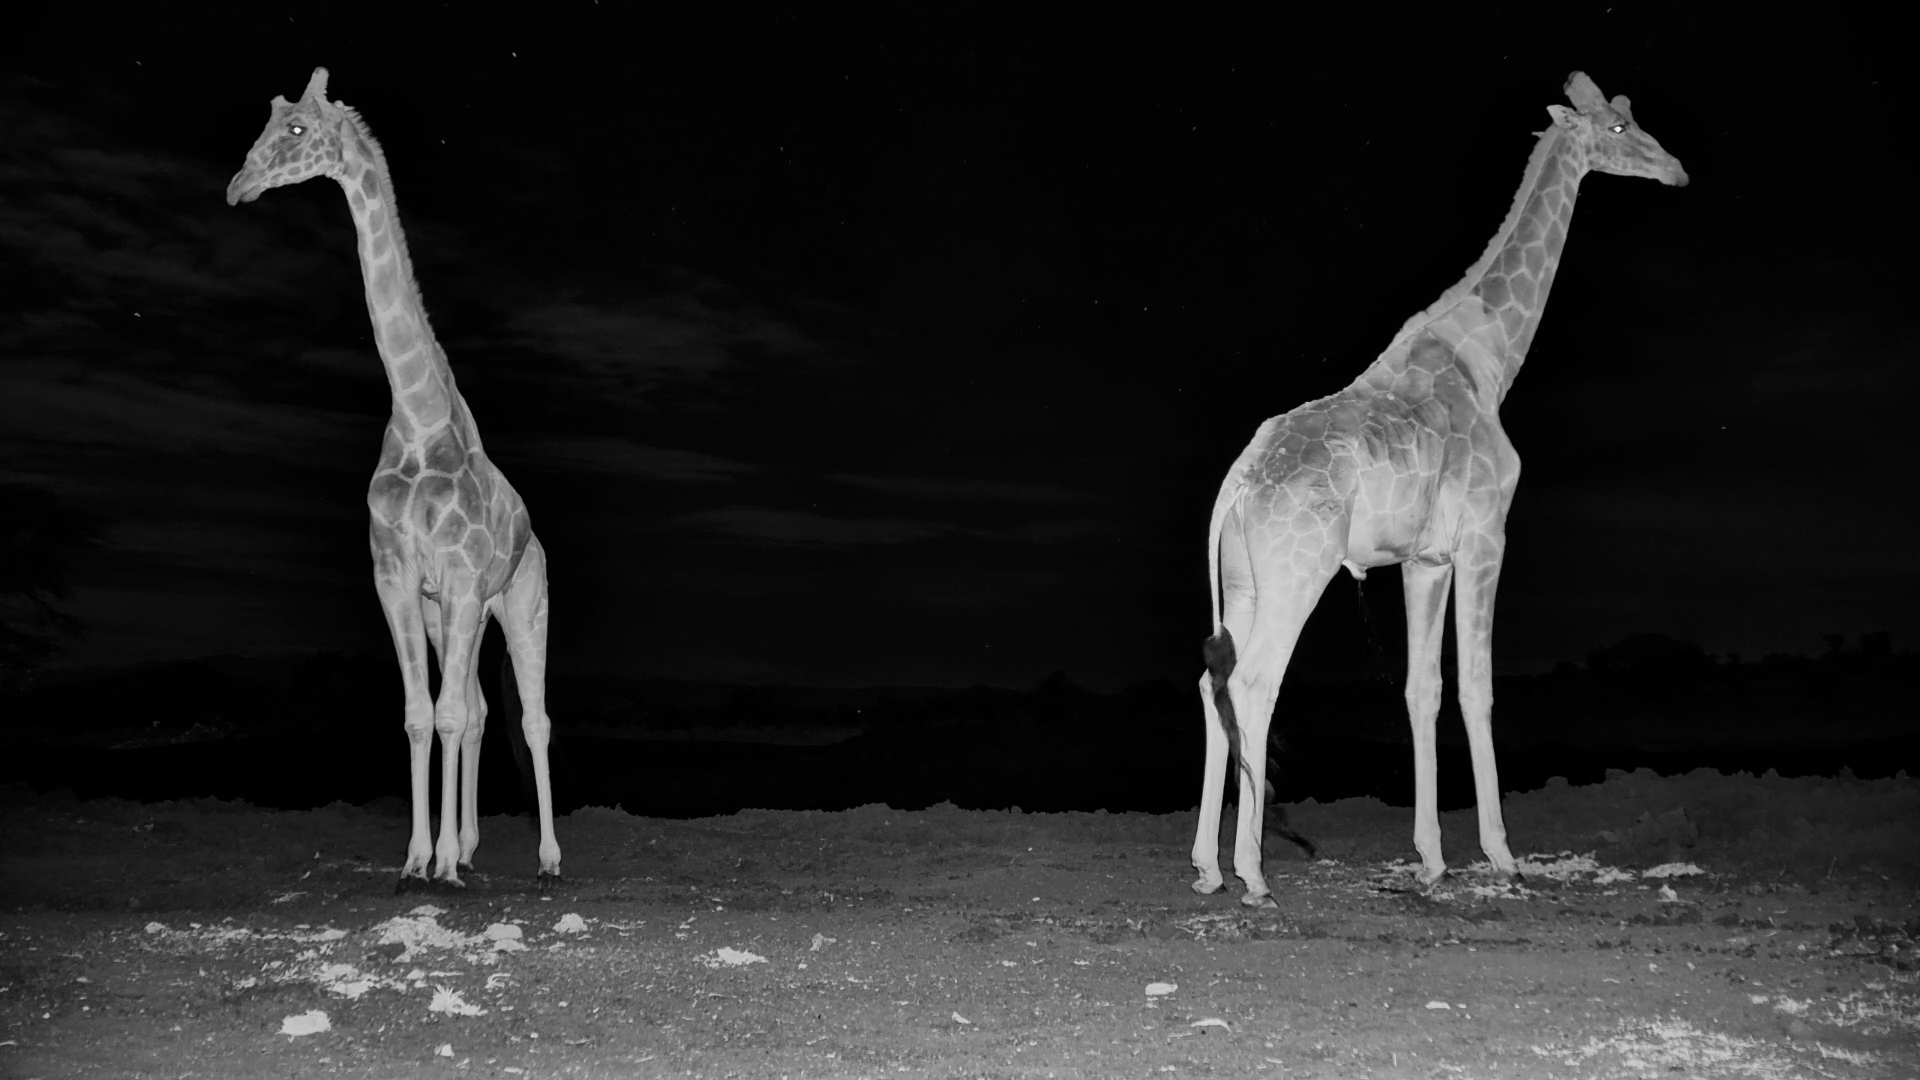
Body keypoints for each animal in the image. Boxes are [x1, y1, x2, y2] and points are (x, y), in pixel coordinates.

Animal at [227, 68, 561, 888]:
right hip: (458, 613)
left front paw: (440, 863)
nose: (239, 185)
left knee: (531, 717)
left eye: (296, 130)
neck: (415, 414)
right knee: (477, 710)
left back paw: (545, 858)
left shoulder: (465, 577)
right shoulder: (398, 574)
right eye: (271, 121)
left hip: (523, 601)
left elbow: (446, 713)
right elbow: (421, 714)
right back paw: (466, 846)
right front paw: (420, 859)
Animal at [1192, 72, 1686, 907]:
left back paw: (1205, 867)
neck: (1491, 360)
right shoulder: (1486, 536)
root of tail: (1237, 482)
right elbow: (1476, 688)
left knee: (1213, 680)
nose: (1675, 169)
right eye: (1620, 126)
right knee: (1256, 682)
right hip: (1299, 573)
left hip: (1246, 580)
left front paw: (1430, 857)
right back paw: (1252, 871)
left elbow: (1421, 690)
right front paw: (1502, 855)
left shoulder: (1423, 559)